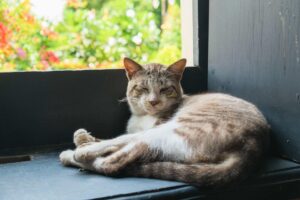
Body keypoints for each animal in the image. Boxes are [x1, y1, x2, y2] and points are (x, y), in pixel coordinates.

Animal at [59, 57, 270, 187]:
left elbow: (116, 140)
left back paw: (74, 154)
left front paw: (84, 143)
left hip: (174, 128)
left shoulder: (150, 127)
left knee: (113, 162)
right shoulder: (134, 131)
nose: (153, 101)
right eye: (143, 88)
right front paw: (83, 137)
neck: (141, 117)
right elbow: (112, 139)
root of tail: (253, 145)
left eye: (165, 89)